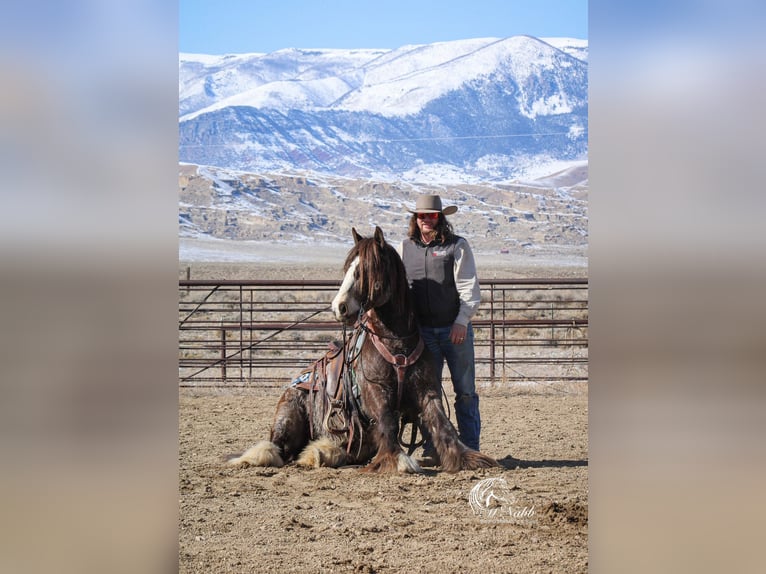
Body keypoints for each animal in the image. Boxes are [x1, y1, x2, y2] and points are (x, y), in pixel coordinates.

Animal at [228, 227, 500, 474]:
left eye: (365, 270)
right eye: (348, 268)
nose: (339, 307)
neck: (396, 343)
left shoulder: (427, 390)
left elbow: (443, 424)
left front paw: (466, 458)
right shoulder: (375, 389)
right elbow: (387, 422)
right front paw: (398, 460)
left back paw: (322, 452)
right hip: (289, 417)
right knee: (276, 449)